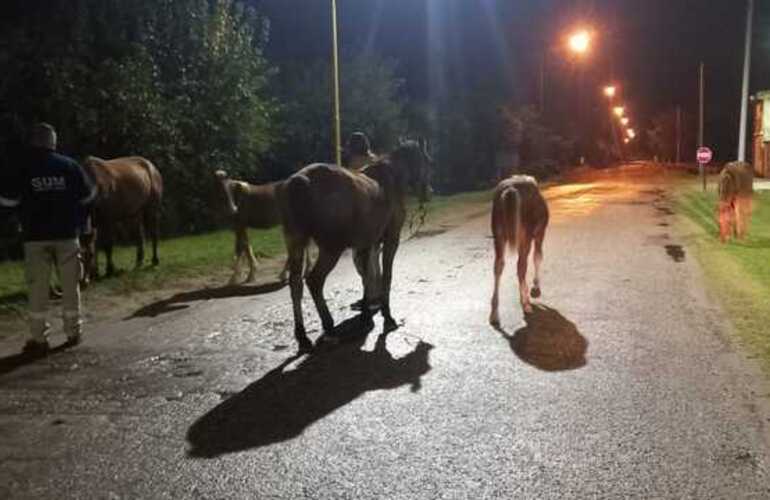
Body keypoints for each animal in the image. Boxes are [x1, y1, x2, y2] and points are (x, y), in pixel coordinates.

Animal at [278, 141, 432, 352]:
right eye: (428, 161)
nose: (428, 192)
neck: (392, 178)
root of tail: (300, 181)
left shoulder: (367, 244)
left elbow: (367, 276)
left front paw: (366, 314)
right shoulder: (391, 240)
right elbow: (385, 276)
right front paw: (387, 317)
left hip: (296, 243)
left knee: (295, 284)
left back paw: (302, 336)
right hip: (331, 248)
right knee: (314, 280)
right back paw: (329, 328)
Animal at [488, 174, 548, 326]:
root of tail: (511, 190)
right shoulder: (539, 234)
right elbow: (538, 257)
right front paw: (535, 288)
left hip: (499, 235)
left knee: (498, 265)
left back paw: (494, 314)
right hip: (525, 235)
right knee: (521, 265)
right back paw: (525, 303)